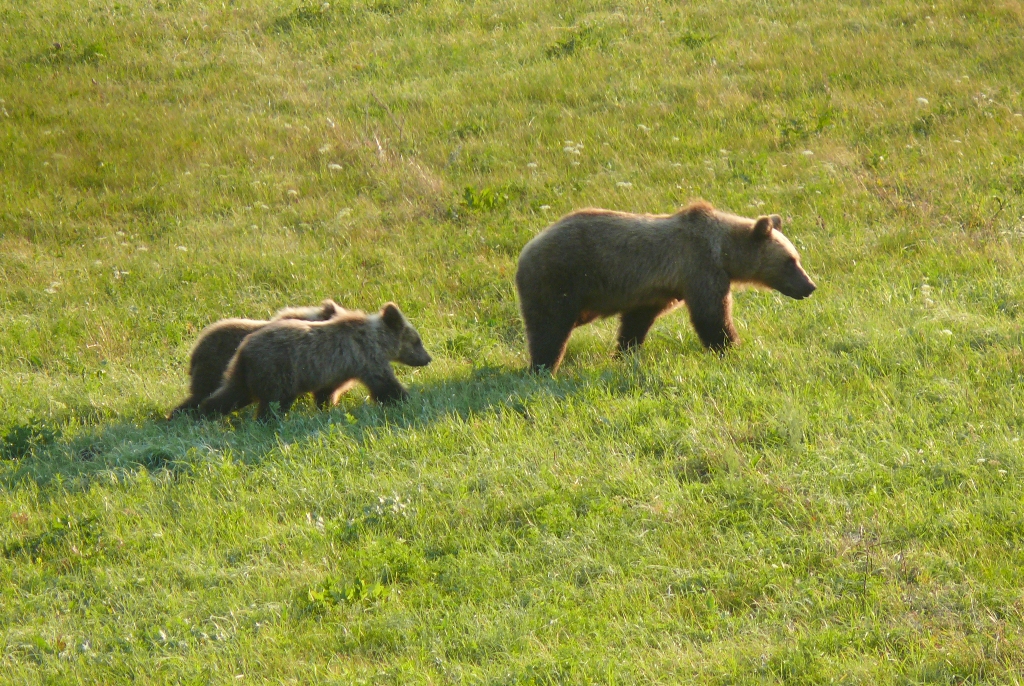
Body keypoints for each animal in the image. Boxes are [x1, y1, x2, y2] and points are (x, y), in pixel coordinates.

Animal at [197, 305, 430, 421]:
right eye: (417, 341)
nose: (428, 358)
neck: (378, 340)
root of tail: (244, 350)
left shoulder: (337, 370)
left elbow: (327, 392)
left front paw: (327, 406)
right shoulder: (366, 359)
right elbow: (386, 385)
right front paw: (407, 398)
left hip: (244, 374)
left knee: (229, 395)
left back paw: (198, 413)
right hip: (278, 373)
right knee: (273, 403)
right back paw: (270, 421)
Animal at [520, 201, 815, 372]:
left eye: (797, 257)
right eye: (790, 261)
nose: (810, 286)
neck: (725, 252)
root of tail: (528, 247)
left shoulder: (656, 292)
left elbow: (636, 322)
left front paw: (625, 352)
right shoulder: (700, 267)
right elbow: (711, 316)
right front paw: (731, 348)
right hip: (561, 279)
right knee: (550, 327)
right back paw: (543, 367)